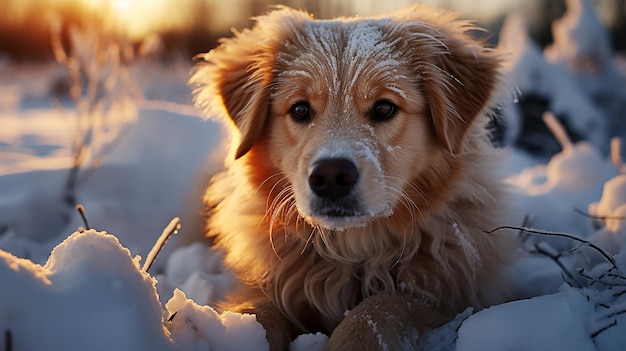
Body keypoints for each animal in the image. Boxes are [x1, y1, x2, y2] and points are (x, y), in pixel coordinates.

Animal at [191, 6, 516, 351]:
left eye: (385, 108)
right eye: (300, 109)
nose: (331, 175)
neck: (350, 251)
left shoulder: (450, 296)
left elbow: (384, 305)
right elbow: (257, 311)